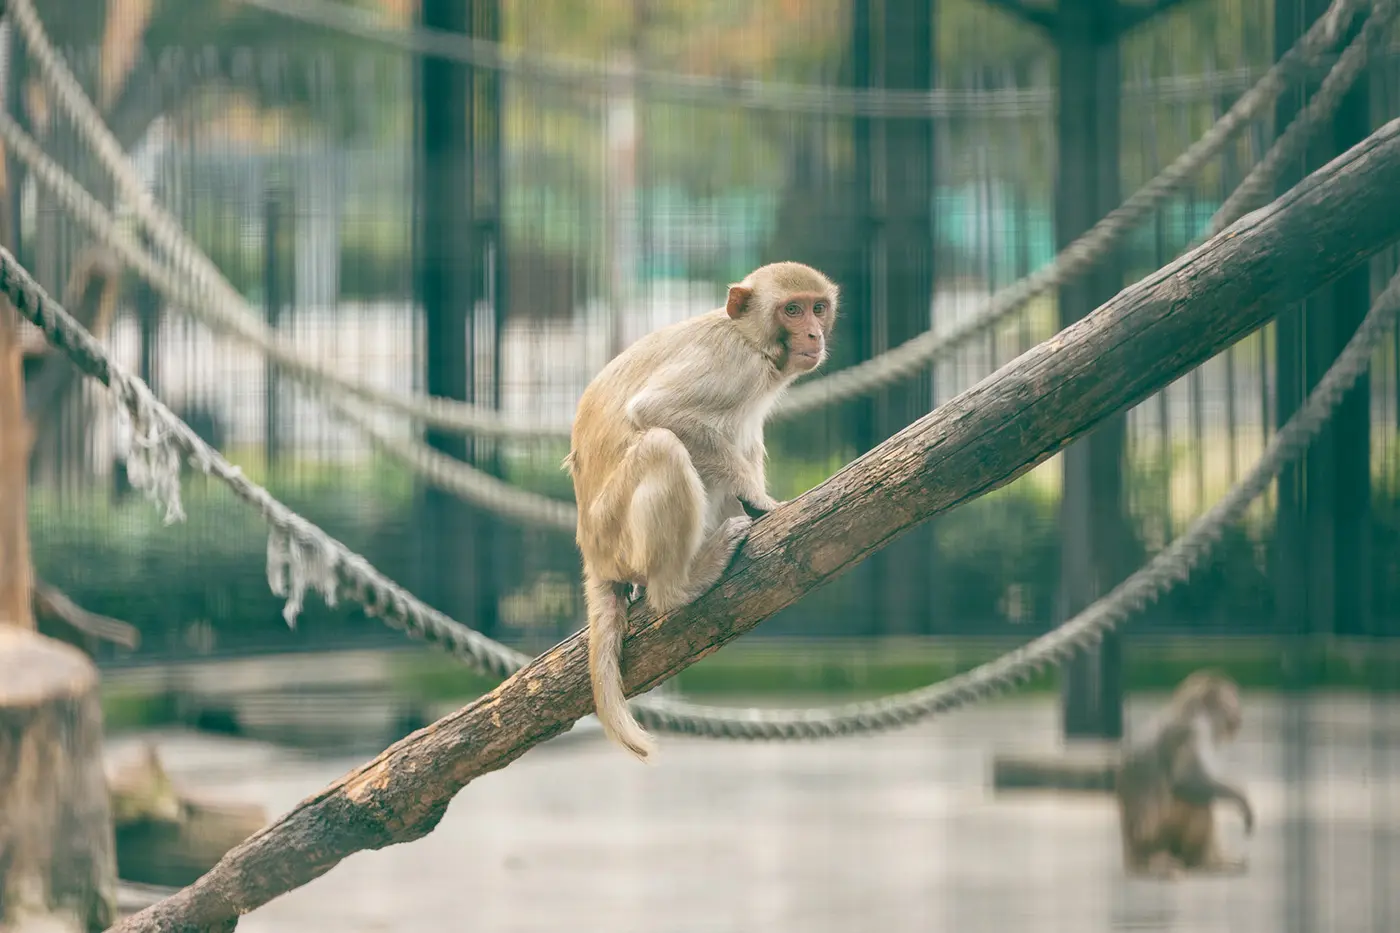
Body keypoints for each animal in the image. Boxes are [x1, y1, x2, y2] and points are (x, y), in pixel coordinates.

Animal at [564, 261, 839, 762]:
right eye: (791, 310)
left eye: (818, 307)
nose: (813, 333)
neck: (748, 338)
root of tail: (591, 552)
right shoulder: (733, 368)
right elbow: (657, 410)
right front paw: (760, 499)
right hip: (615, 531)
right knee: (663, 446)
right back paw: (679, 586)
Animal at [1115, 670, 1255, 879]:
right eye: (1232, 697)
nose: (1238, 707)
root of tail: (1131, 858)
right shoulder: (1193, 728)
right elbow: (1186, 781)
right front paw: (1241, 798)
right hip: (1155, 838)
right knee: (1196, 801)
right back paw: (1202, 862)